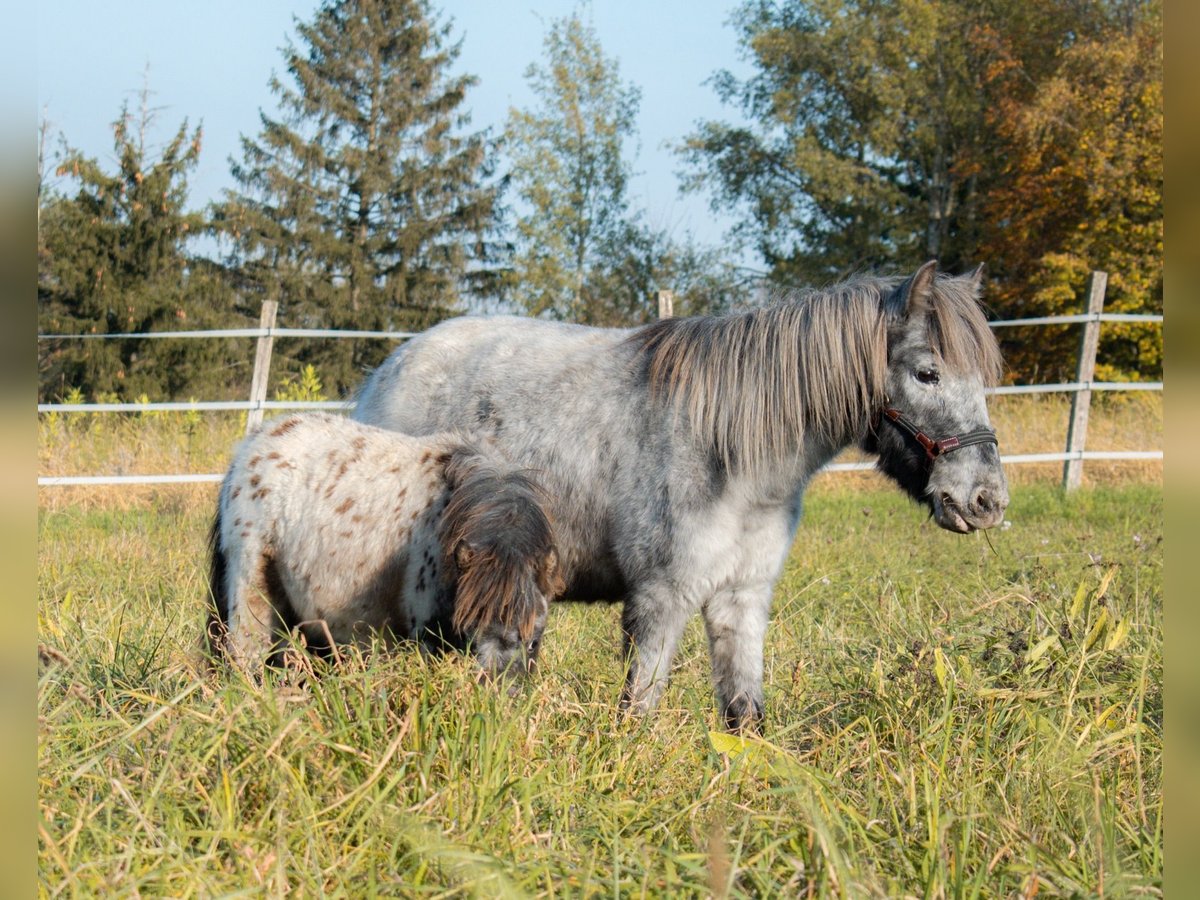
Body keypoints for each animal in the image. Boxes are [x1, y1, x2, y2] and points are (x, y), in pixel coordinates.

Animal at [350, 260, 1008, 734]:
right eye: (927, 373)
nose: (986, 501)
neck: (729, 450)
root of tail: (386, 372)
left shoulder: (742, 599)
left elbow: (745, 717)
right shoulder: (661, 601)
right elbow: (638, 713)